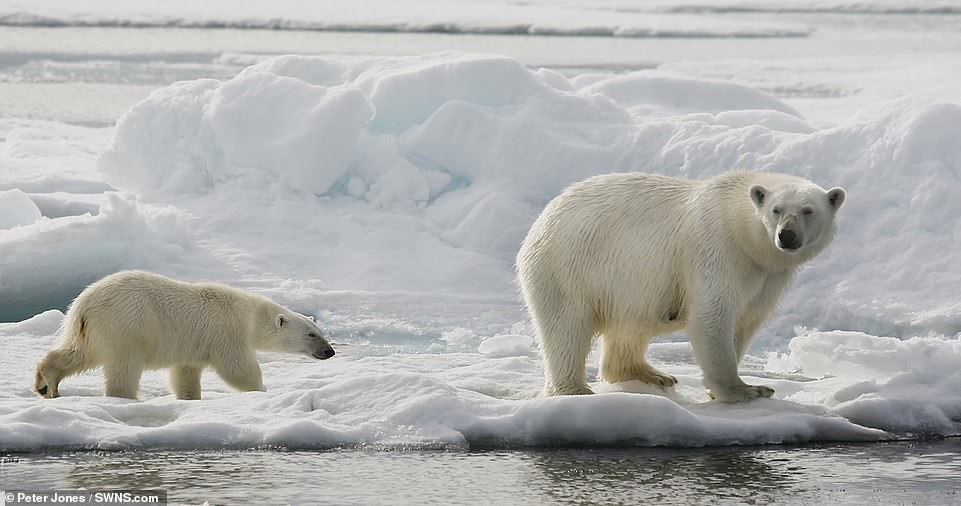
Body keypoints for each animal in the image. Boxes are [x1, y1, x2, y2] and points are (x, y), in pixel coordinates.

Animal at [33, 270, 336, 402]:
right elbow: (239, 369)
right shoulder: (227, 331)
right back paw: (125, 398)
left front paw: (190, 399)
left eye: (321, 332)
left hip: (93, 330)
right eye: (311, 334)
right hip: (127, 325)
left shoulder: (194, 346)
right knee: (124, 366)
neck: (251, 316)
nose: (330, 351)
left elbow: (185, 374)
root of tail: (82, 304)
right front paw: (260, 391)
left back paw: (47, 384)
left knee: (80, 353)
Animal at [516, 172, 840, 402]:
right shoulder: (719, 250)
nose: (787, 236)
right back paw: (574, 389)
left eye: (808, 210)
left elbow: (746, 318)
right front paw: (746, 390)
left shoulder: (768, 274)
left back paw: (652, 375)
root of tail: (542, 219)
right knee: (566, 327)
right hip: (568, 265)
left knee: (628, 329)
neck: (740, 228)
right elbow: (712, 314)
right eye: (776, 209)